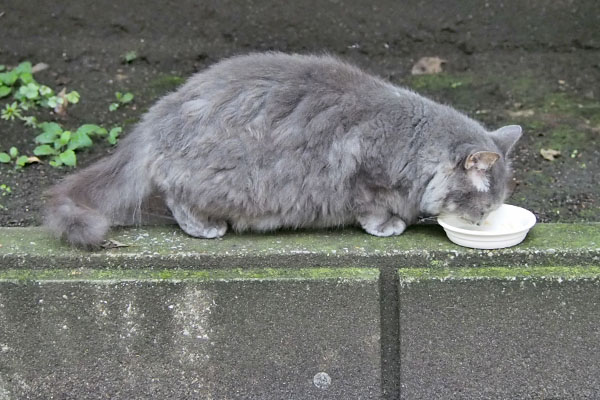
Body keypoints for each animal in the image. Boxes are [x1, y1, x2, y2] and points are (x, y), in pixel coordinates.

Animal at [47, 52, 524, 247]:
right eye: (484, 206)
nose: (483, 222)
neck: (414, 142)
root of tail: (156, 117)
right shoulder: (363, 176)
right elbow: (371, 208)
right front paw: (389, 226)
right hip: (215, 176)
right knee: (176, 198)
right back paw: (207, 228)